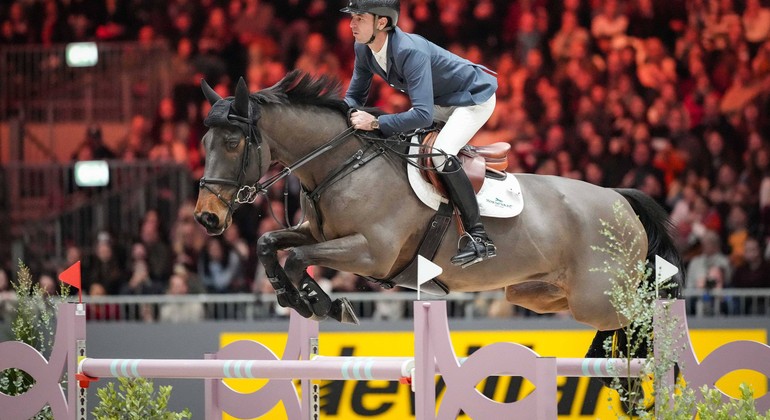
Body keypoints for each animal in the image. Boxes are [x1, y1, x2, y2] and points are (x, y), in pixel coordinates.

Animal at [193, 70, 684, 360]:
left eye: (233, 143)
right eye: (203, 143)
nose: (206, 219)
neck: (343, 164)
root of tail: (620, 199)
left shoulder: (372, 253)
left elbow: (298, 258)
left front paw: (319, 303)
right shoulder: (317, 233)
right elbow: (270, 244)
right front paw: (297, 296)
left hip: (597, 297)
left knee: (642, 314)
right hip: (537, 293)